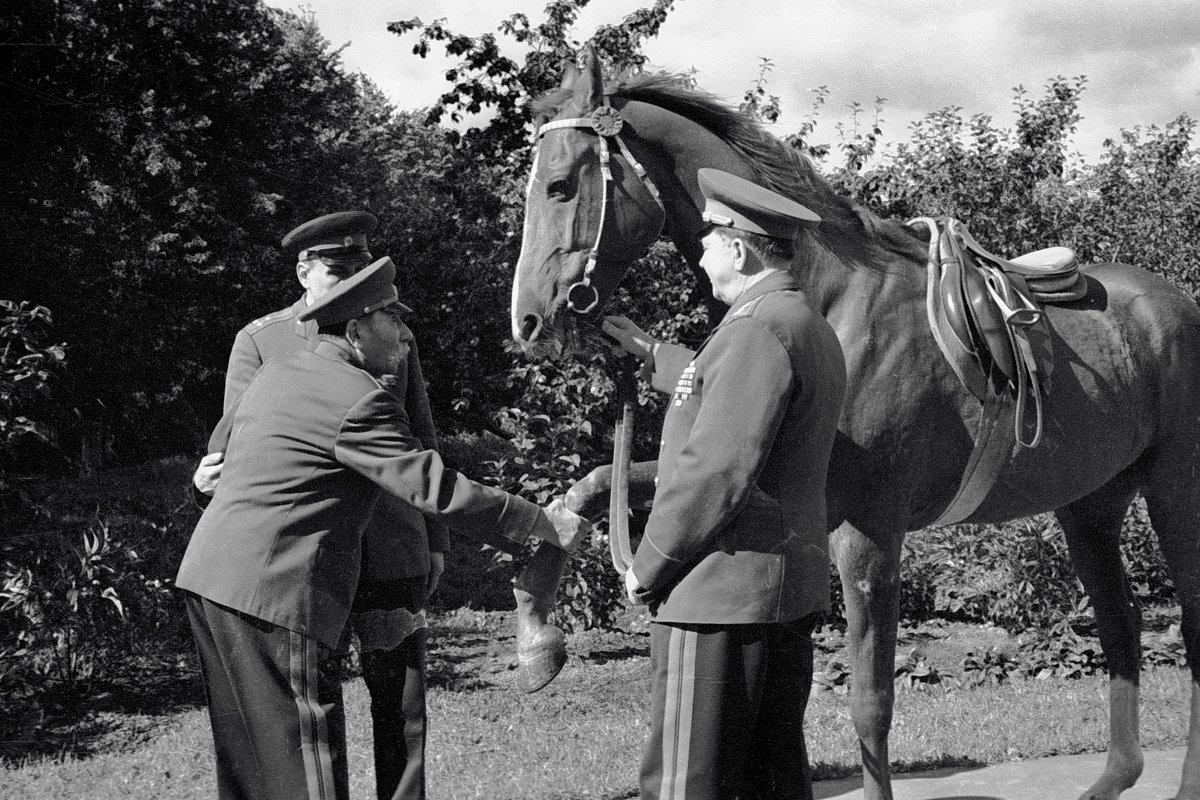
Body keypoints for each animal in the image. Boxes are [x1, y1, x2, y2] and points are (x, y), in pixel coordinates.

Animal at [511, 51, 1200, 800]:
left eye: (559, 186)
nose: (527, 318)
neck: (828, 299)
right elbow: (590, 485)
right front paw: (538, 637)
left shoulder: (867, 530)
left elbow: (871, 703)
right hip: (1092, 504)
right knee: (1121, 625)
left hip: (1174, 493)